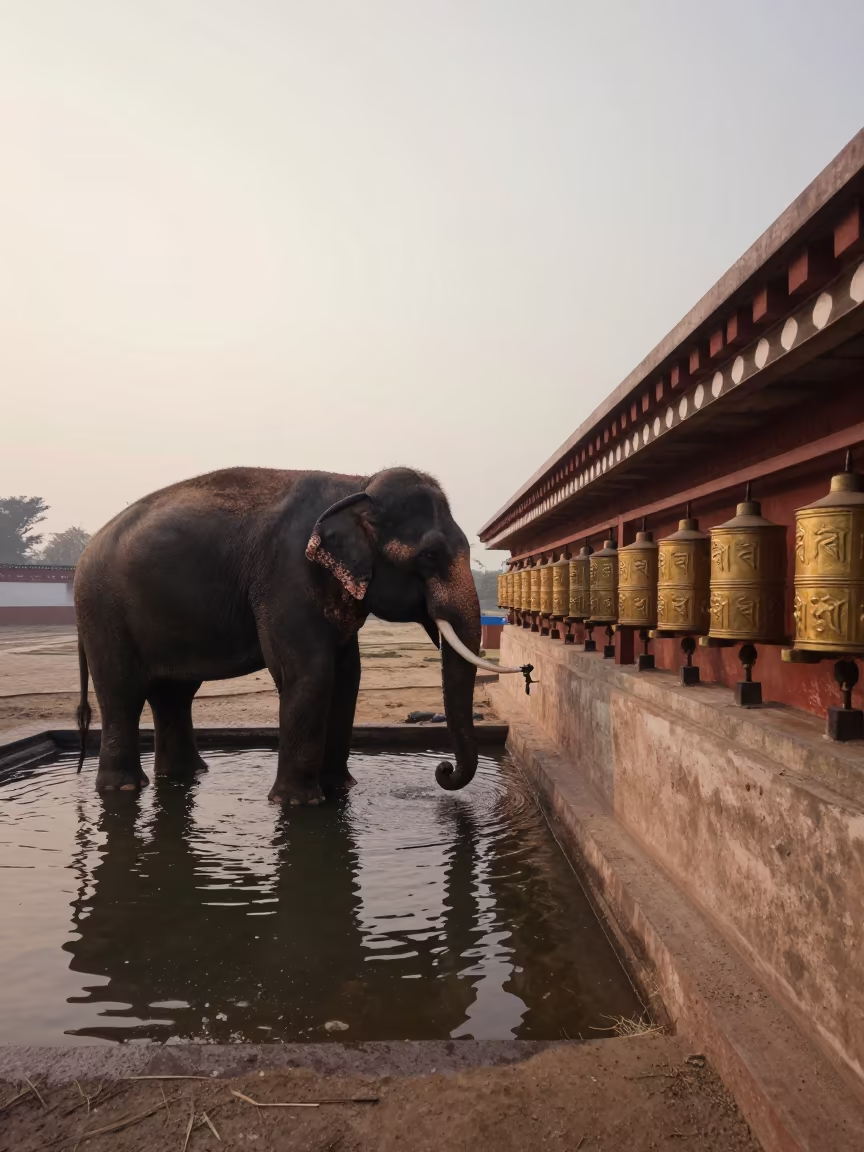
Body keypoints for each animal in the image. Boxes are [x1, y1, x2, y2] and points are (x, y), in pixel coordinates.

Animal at [74, 466, 515, 804]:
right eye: (429, 555)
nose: (443, 769)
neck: (357, 485)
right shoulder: (287, 576)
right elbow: (309, 673)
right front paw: (299, 804)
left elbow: (348, 677)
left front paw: (341, 789)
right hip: (102, 611)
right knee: (122, 692)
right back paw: (123, 789)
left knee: (173, 694)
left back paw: (186, 775)